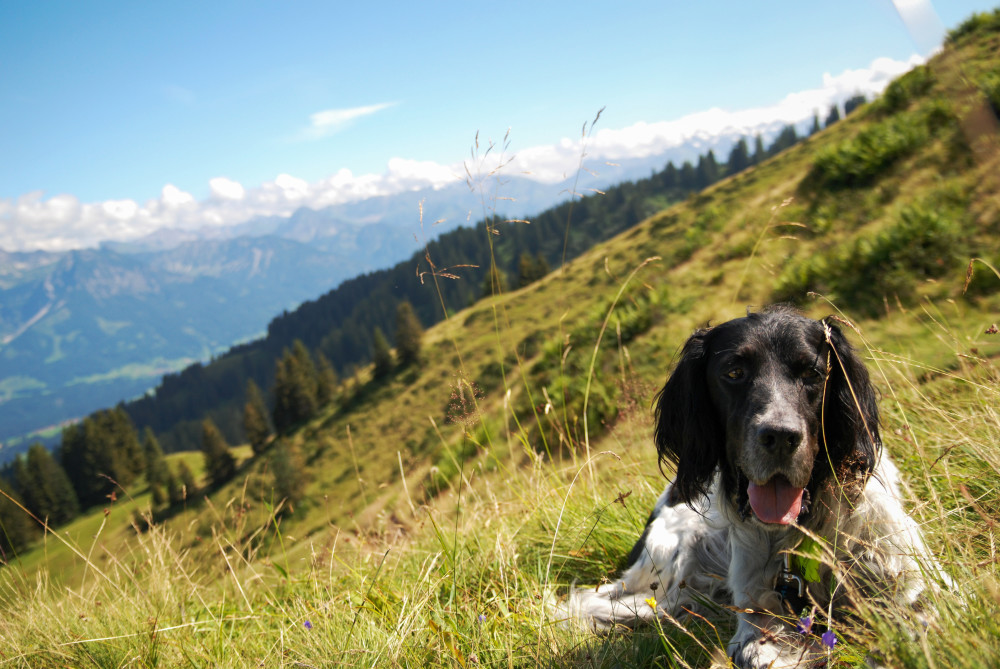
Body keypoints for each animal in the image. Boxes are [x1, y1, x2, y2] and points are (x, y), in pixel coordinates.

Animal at [568, 306, 940, 668]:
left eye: (812, 374)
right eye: (734, 373)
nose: (780, 437)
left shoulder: (911, 577)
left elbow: (917, 623)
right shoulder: (757, 610)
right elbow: (755, 651)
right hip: (675, 552)